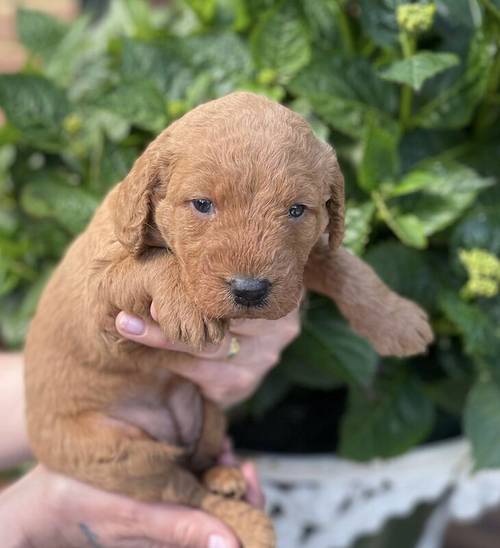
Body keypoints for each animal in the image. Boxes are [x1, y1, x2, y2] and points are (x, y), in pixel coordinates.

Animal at [23, 92, 432, 544]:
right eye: (202, 205)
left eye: (296, 210)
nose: (249, 290)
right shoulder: (97, 293)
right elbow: (151, 263)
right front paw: (186, 307)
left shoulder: (296, 264)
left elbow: (341, 262)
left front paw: (395, 319)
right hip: (117, 452)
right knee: (184, 490)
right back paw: (251, 525)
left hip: (207, 411)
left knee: (196, 465)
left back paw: (225, 477)